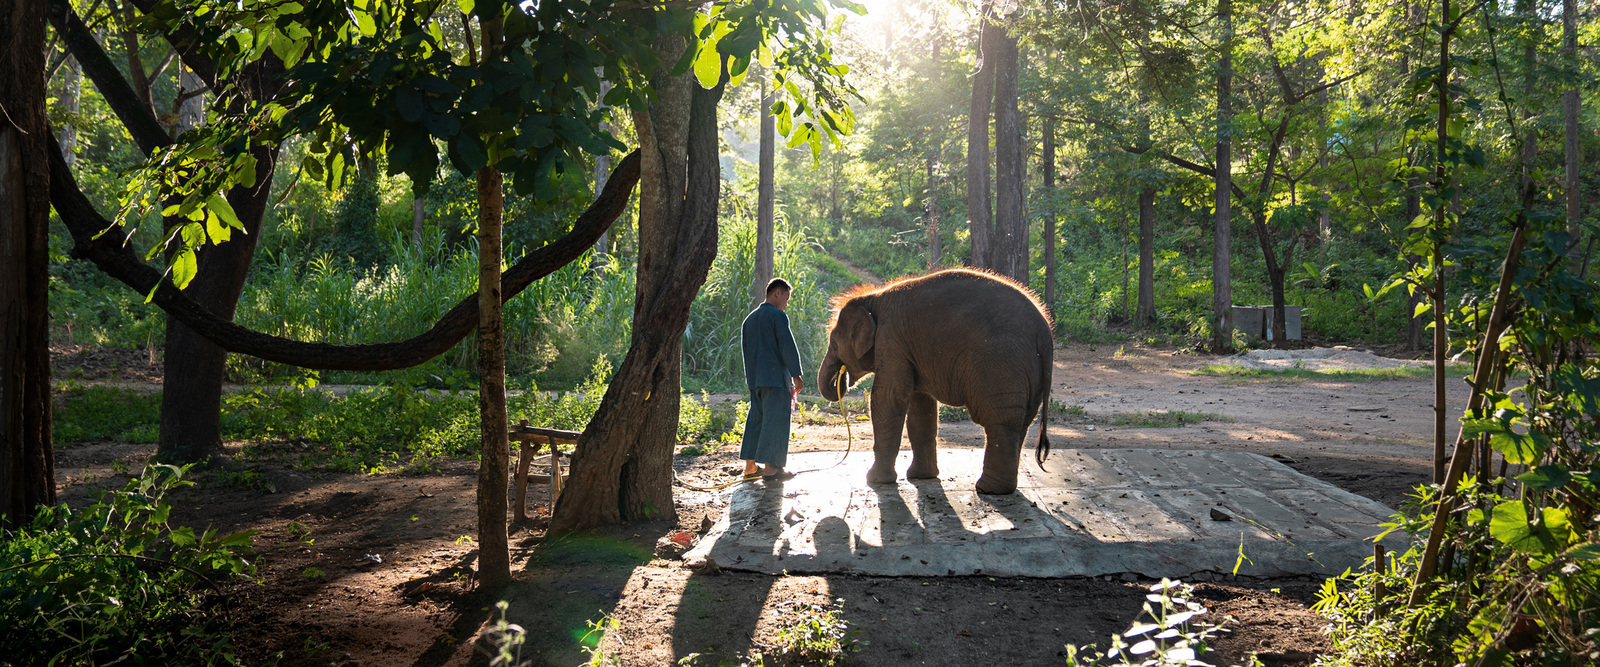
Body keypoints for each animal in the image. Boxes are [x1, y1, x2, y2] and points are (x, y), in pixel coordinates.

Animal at [819, 267, 1056, 492]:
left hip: (999, 364)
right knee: (1021, 422)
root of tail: (1045, 332)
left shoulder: (891, 339)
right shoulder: (909, 348)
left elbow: (888, 397)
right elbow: (920, 405)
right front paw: (920, 477)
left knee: (1000, 421)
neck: (873, 298)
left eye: (834, 344)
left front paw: (875, 480)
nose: (841, 381)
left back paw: (988, 489)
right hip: (1030, 373)